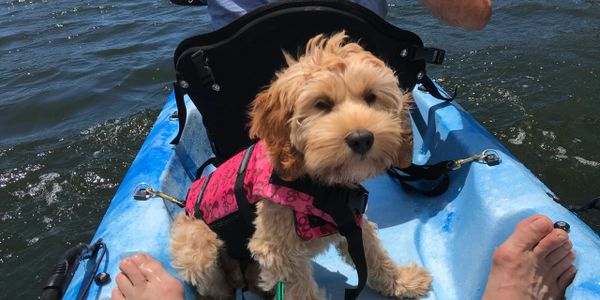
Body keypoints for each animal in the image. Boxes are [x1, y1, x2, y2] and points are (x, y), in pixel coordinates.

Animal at [169, 31, 432, 298]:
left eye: (371, 97)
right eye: (322, 103)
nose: (361, 139)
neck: (321, 184)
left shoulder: (353, 223)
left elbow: (373, 254)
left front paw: (402, 281)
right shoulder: (278, 251)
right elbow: (301, 289)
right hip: (197, 248)